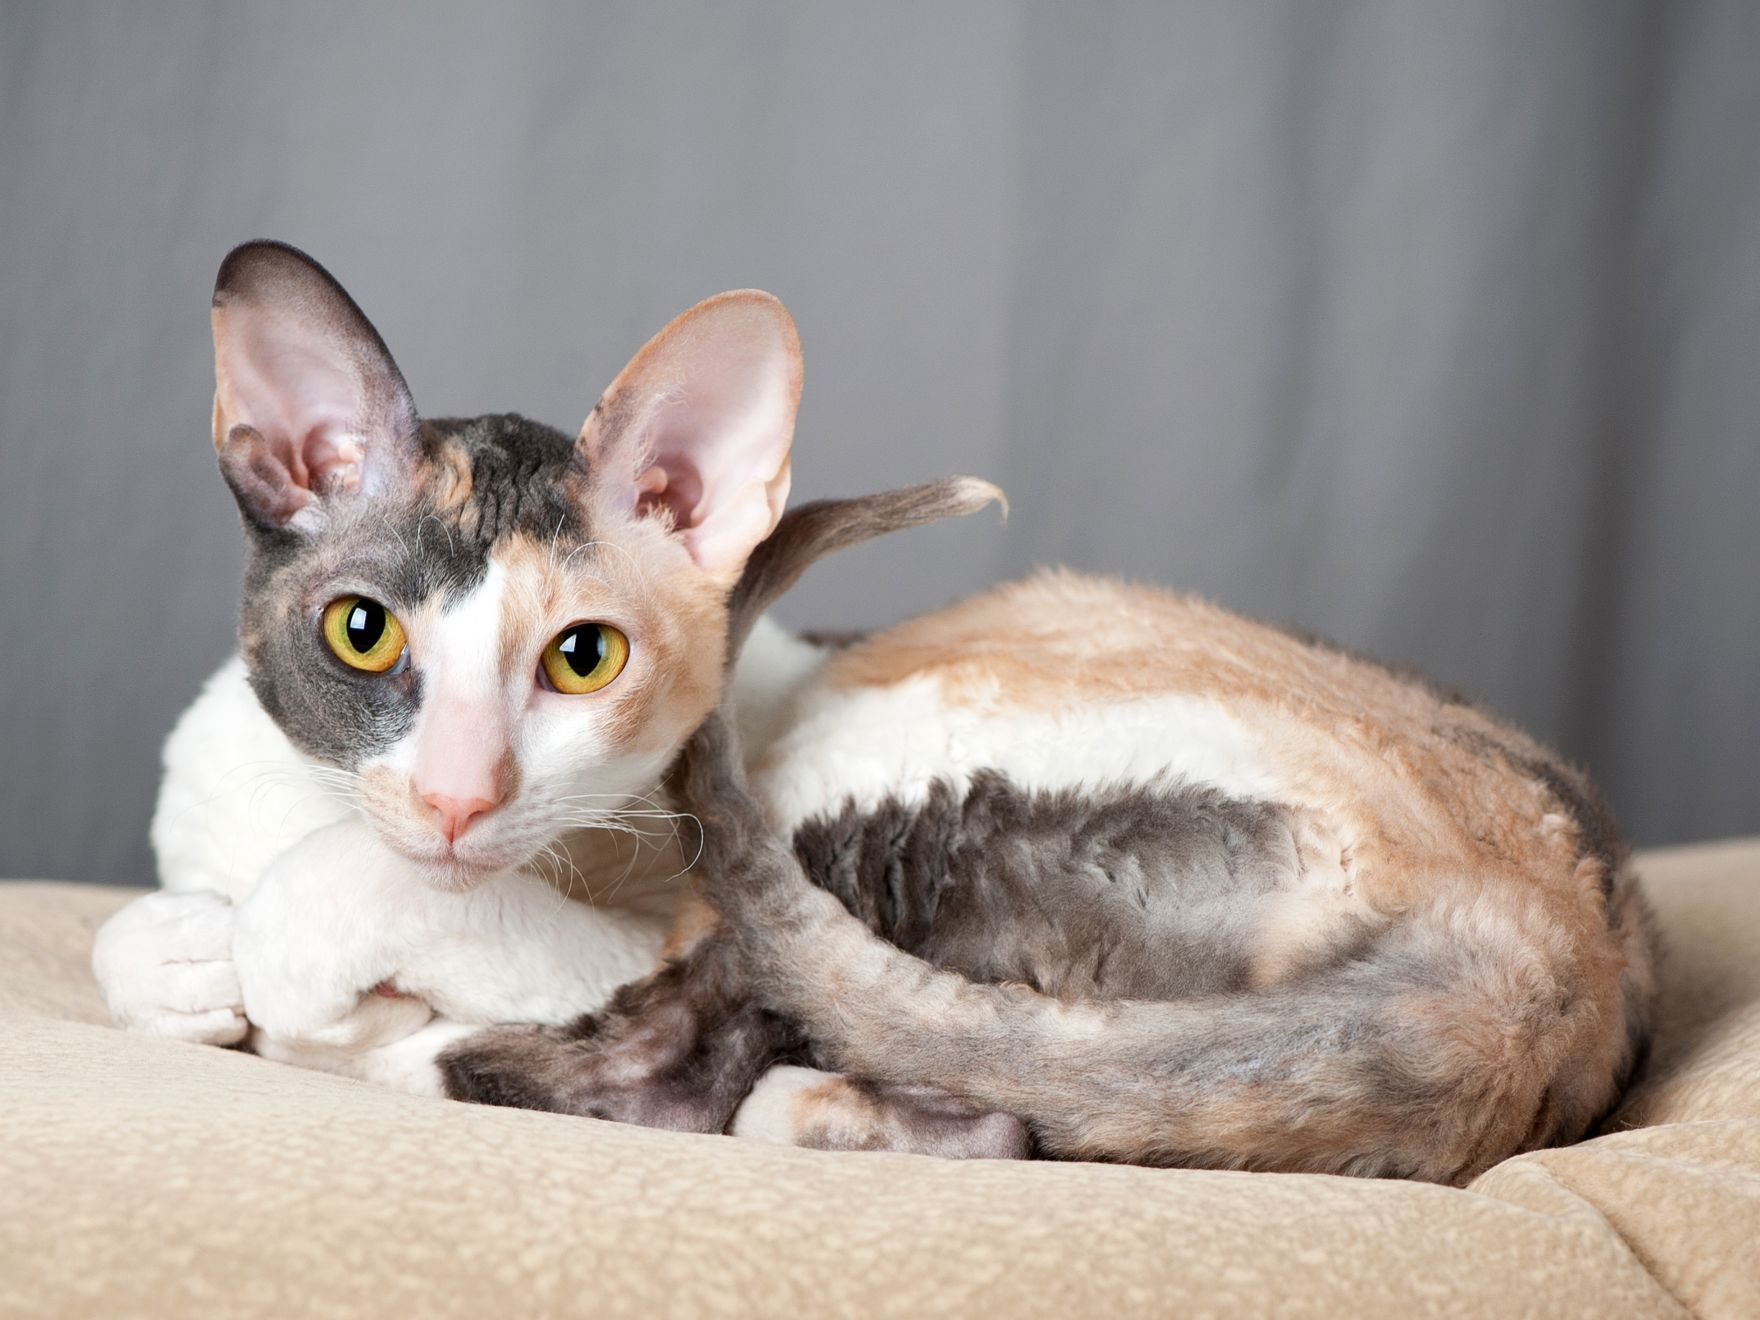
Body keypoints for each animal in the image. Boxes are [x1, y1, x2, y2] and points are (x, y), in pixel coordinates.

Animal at [96, 242, 1027, 1154]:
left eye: (584, 658)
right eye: (363, 631)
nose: (456, 798)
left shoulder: (658, 928)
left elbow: (340, 893)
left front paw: (291, 981)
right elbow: (118, 942)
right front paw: (183, 961)